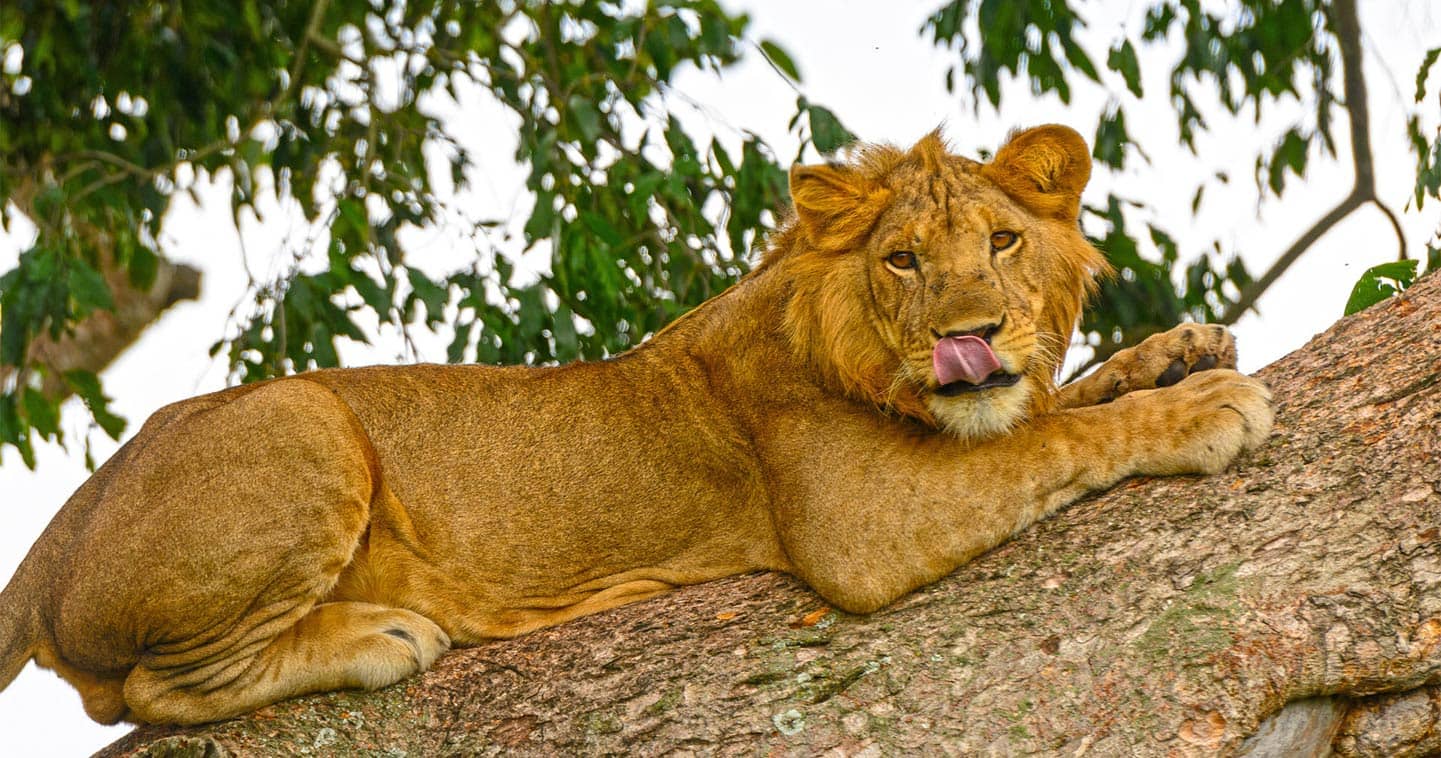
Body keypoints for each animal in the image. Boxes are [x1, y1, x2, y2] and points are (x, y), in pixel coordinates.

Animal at [0, 124, 1268, 726]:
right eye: (904, 259)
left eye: (1002, 241)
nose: (976, 330)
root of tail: (54, 538)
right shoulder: (860, 526)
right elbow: (1052, 437)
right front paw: (1205, 404)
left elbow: (1053, 401)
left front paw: (1174, 350)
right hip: (305, 416)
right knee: (148, 692)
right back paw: (378, 634)